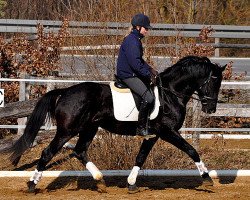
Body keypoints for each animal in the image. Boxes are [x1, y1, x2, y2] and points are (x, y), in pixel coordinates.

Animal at [5, 55, 226, 193]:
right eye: (213, 81)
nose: (211, 109)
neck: (170, 93)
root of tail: (65, 91)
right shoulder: (167, 131)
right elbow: (191, 150)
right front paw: (206, 177)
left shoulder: (152, 135)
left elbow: (140, 157)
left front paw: (131, 183)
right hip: (67, 130)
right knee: (48, 153)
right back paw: (32, 184)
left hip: (89, 128)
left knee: (79, 151)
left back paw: (99, 180)